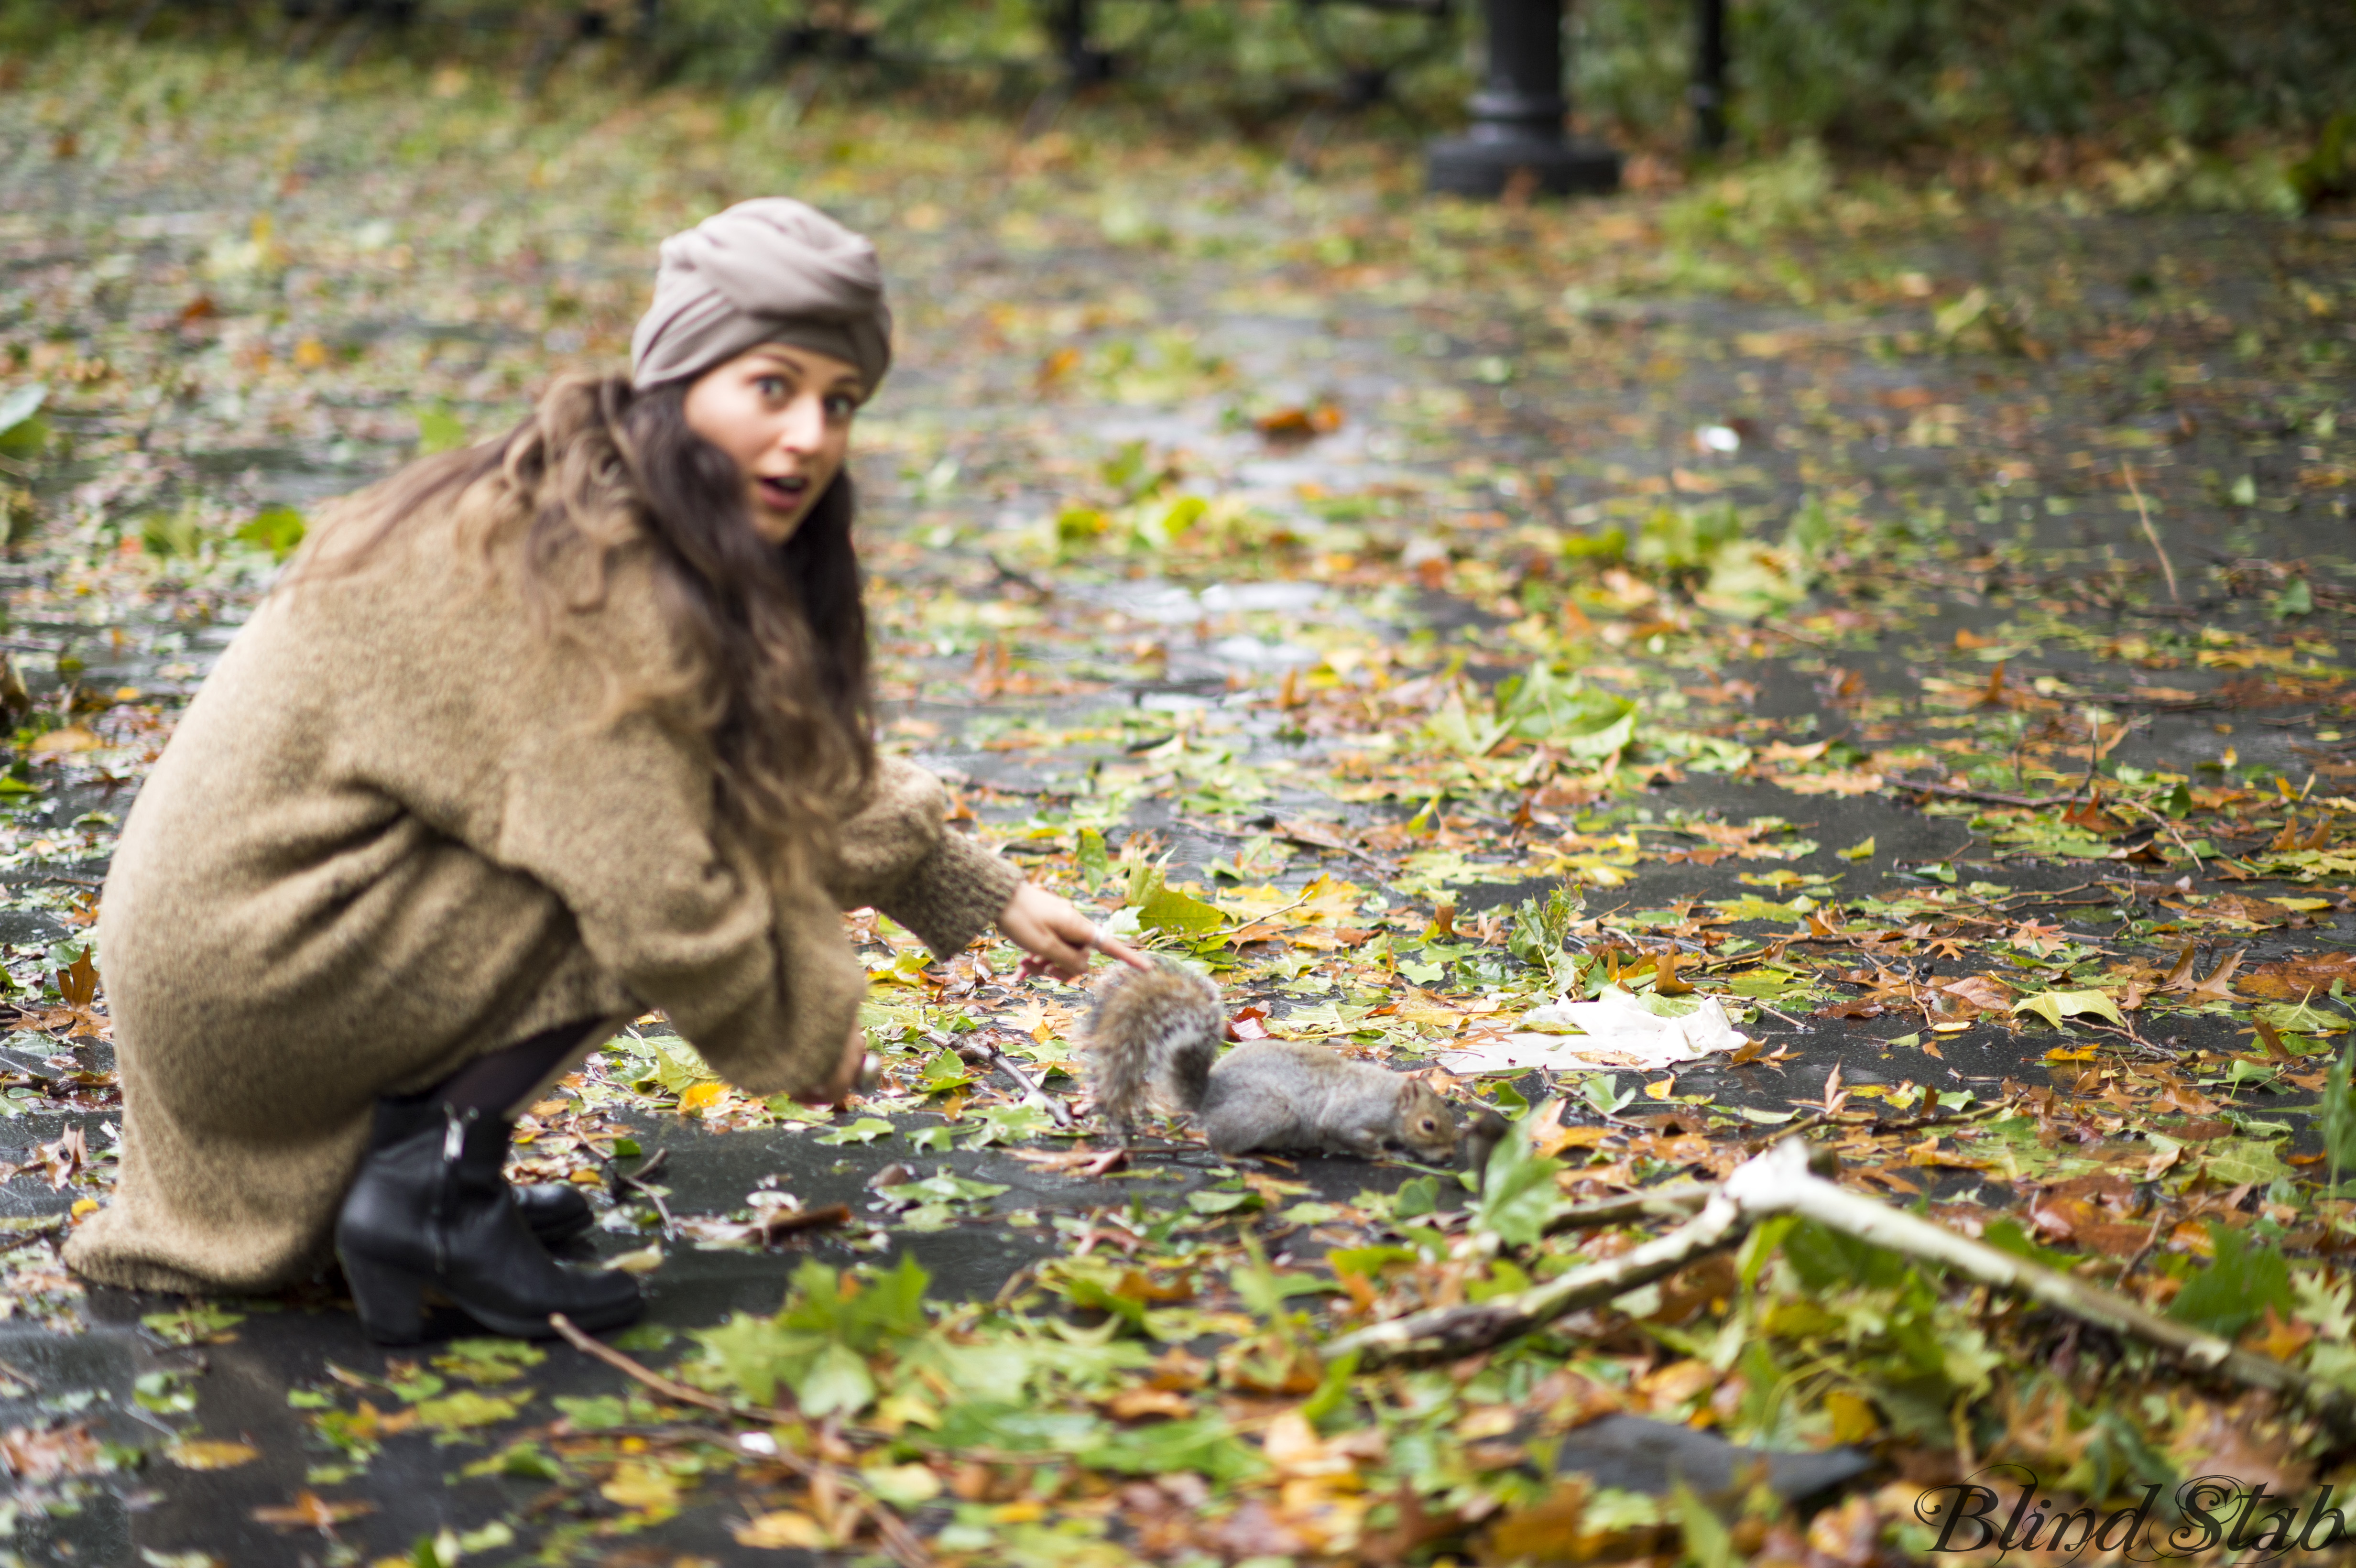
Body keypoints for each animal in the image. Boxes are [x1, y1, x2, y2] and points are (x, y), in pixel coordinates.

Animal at [1079, 951, 1451, 1158]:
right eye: (1428, 1125)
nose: (1449, 1153)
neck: (1389, 1098)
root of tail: (1208, 1097)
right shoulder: (1350, 1116)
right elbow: (1346, 1134)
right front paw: (1384, 1154)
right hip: (1270, 1114)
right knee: (1221, 1146)